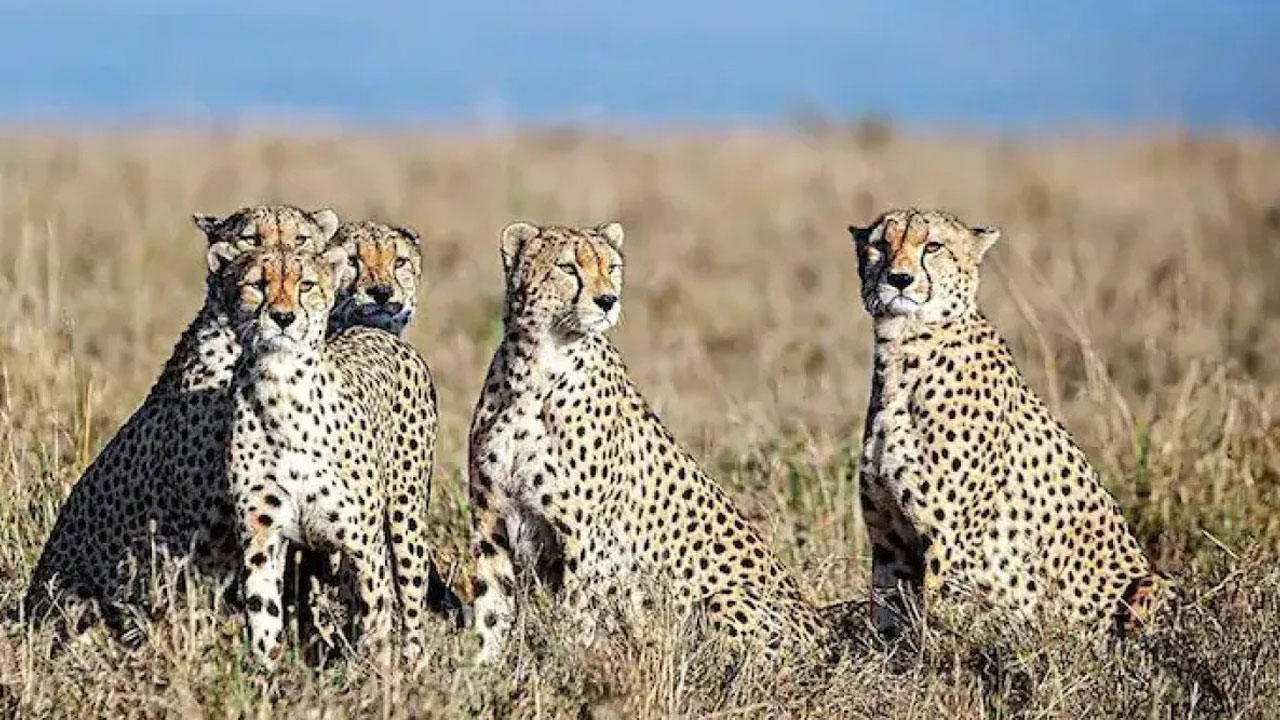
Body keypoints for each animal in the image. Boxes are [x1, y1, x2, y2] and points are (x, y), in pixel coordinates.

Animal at [221, 240, 446, 666]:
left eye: (306, 284)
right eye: (256, 284)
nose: (283, 317)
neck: (282, 390)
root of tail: (372, 330)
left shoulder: (363, 544)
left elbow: (377, 622)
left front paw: (378, 679)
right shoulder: (261, 538)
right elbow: (264, 617)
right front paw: (266, 677)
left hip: (405, 520)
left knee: (410, 603)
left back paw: (413, 664)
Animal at [467, 220, 832, 664]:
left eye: (611, 267)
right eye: (568, 268)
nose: (608, 300)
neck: (536, 368)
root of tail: (826, 632)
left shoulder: (584, 539)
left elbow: (574, 619)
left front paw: (569, 670)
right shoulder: (492, 522)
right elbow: (490, 611)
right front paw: (480, 673)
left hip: (722, 600)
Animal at [847, 207, 1172, 641]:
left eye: (933, 246)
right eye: (881, 245)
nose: (899, 279)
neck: (903, 349)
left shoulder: (949, 544)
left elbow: (933, 628)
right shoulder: (890, 542)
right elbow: (886, 618)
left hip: (1151, 583)